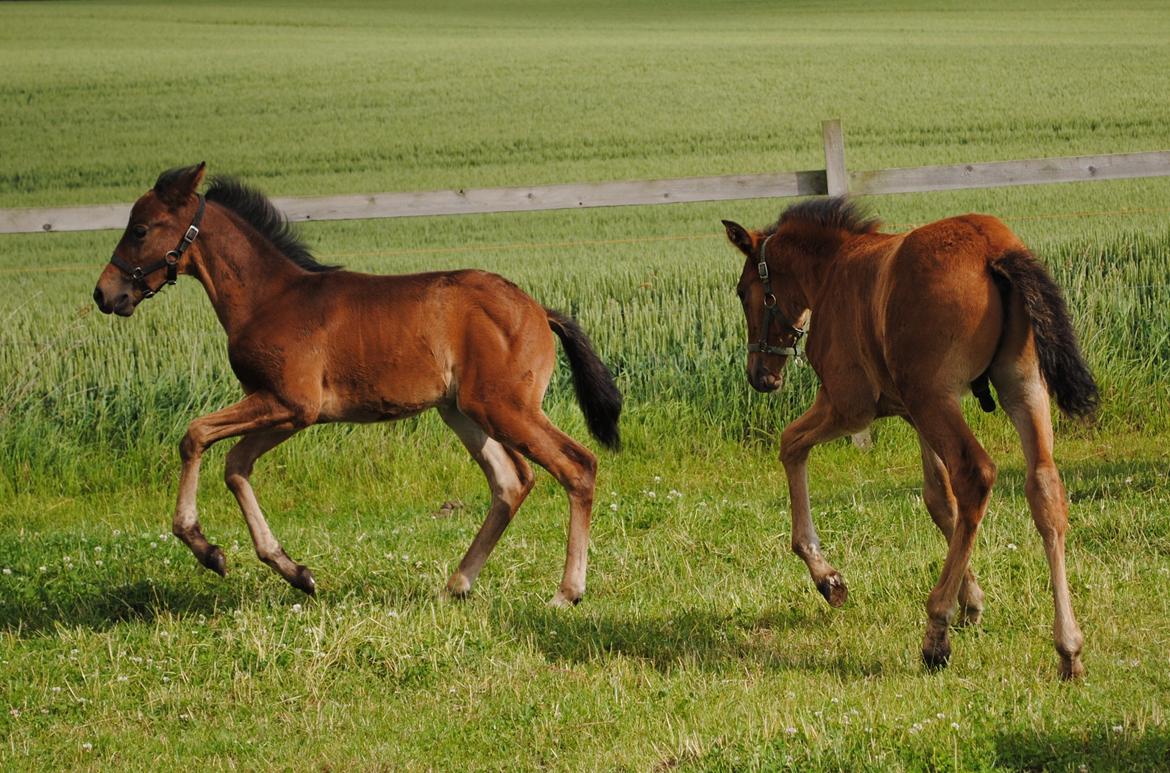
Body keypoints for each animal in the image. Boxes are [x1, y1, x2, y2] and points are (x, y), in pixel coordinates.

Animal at [93, 164, 622, 608]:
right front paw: (294, 571)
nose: (105, 293)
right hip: (462, 411)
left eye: (140, 230)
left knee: (577, 466)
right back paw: (456, 584)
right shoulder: (286, 412)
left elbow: (196, 434)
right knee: (511, 482)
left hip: (503, 406)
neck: (269, 298)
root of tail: (537, 310)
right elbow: (236, 466)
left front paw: (205, 548)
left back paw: (566, 593)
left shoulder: (291, 403)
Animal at [720, 197, 1095, 673]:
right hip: (1021, 387)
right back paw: (1068, 648)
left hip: (934, 398)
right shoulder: (911, 415)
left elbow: (790, 445)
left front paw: (828, 578)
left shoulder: (850, 405)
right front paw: (972, 601)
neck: (833, 269)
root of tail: (993, 247)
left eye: (742, 291)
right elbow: (939, 500)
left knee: (976, 475)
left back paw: (936, 632)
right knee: (1044, 488)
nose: (760, 375)